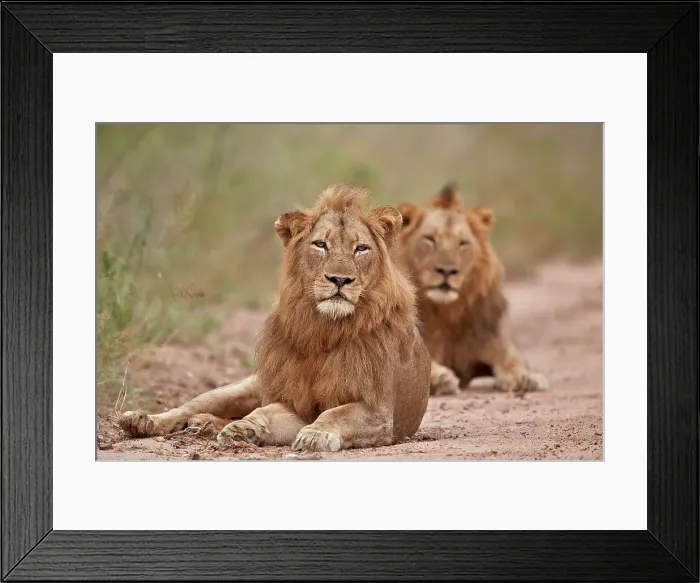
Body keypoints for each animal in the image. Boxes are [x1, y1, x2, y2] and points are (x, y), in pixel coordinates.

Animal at [119, 184, 431, 452]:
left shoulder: (377, 410)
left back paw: (205, 425)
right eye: (321, 244)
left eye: (361, 248)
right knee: (188, 407)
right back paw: (143, 421)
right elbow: (265, 411)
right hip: (240, 388)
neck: (324, 329)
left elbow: (336, 414)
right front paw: (244, 428)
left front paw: (314, 435)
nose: (340, 279)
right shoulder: (295, 403)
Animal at [396, 183, 548, 397]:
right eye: (430, 239)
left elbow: (512, 361)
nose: (447, 271)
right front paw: (439, 379)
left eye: (463, 243)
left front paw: (525, 378)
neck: (447, 314)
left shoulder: (493, 342)